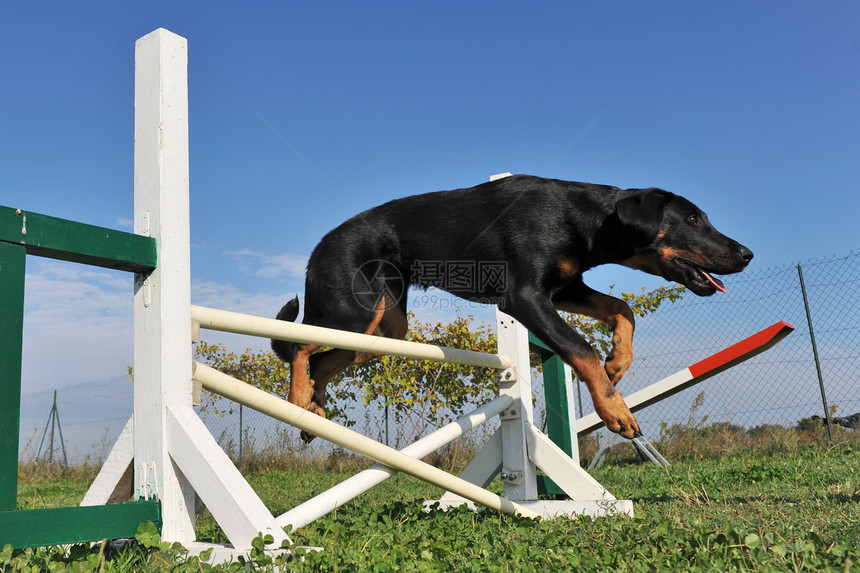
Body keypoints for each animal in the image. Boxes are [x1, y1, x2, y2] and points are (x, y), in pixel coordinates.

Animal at [272, 177, 748, 440]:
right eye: (692, 220)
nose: (747, 254)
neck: (587, 219)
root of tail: (317, 249)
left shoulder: (564, 289)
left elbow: (622, 309)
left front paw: (616, 363)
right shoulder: (524, 296)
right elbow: (580, 347)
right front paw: (615, 411)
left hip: (383, 331)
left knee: (322, 362)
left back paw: (313, 413)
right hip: (352, 312)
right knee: (298, 347)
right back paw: (297, 402)